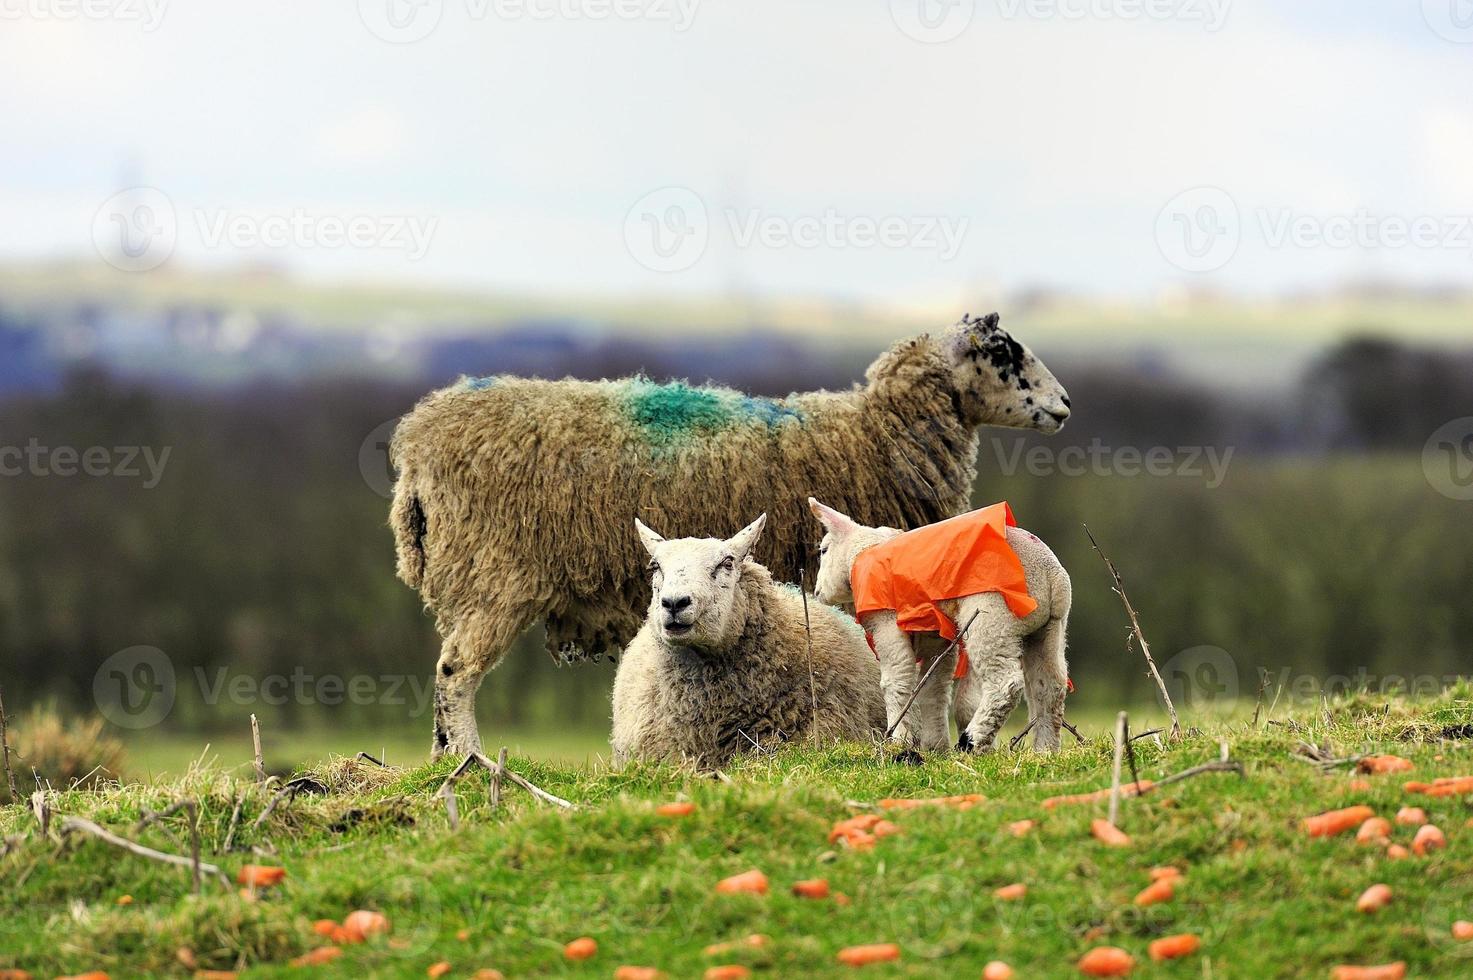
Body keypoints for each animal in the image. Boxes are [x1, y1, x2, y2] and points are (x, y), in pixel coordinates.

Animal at [807, 501, 1072, 751]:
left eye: (823, 550)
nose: (817, 592)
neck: (863, 553)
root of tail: (1050, 576)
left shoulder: (886, 623)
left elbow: (896, 680)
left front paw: (898, 739)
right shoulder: (936, 635)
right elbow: (933, 688)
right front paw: (935, 746)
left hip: (991, 616)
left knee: (1006, 683)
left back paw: (972, 742)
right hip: (1050, 628)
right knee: (1050, 688)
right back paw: (1045, 750)